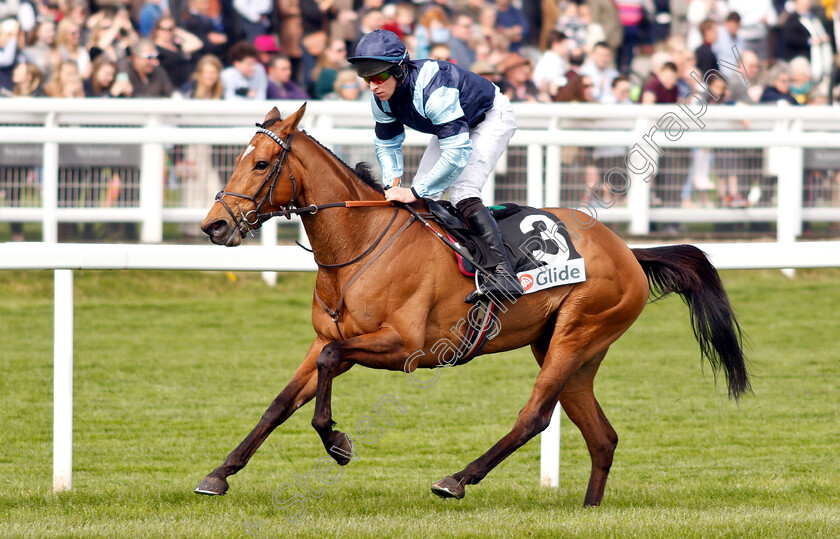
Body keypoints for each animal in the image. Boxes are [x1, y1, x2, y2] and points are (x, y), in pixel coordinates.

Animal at [195, 104, 748, 506]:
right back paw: (589, 508)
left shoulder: (406, 348)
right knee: (602, 436)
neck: (362, 243)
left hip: (576, 335)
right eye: (238, 159)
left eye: (261, 164)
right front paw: (219, 474)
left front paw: (337, 442)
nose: (214, 225)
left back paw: (457, 479)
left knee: (535, 417)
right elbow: (280, 403)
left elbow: (330, 370)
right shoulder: (328, 338)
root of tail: (629, 251)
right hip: (572, 351)